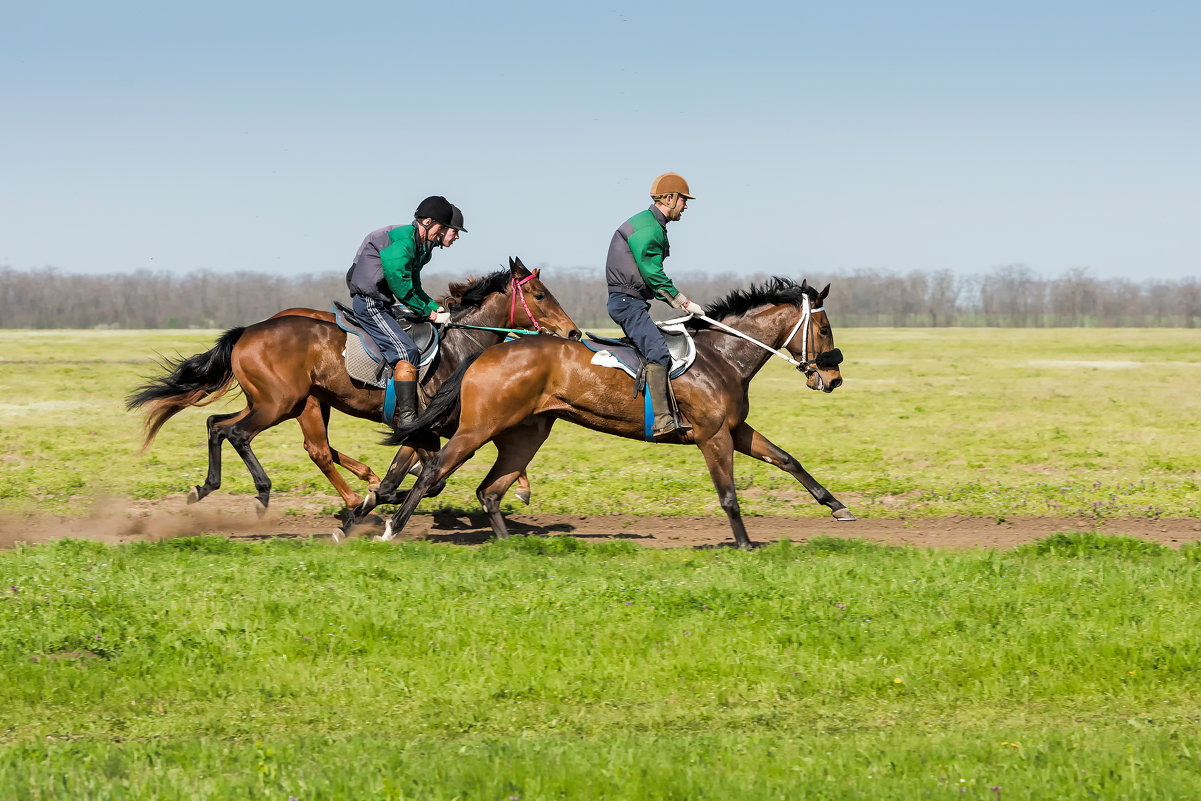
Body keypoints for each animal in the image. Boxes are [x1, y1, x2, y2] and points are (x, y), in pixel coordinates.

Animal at [127, 260, 581, 516]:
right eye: (539, 294)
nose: (573, 333)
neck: (458, 345)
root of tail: (248, 332)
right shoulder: (431, 426)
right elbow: (429, 476)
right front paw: (382, 495)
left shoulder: (441, 428)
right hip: (281, 404)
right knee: (245, 434)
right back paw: (270, 493)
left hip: (288, 403)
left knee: (219, 425)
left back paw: (206, 487)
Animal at [350, 277, 859, 552]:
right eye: (825, 326)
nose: (832, 378)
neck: (723, 355)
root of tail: (488, 352)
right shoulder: (714, 437)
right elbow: (729, 495)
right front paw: (746, 543)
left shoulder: (735, 429)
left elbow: (788, 459)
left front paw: (837, 507)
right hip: (477, 428)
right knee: (433, 469)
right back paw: (388, 527)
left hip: (526, 433)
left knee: (489, 489)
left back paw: (509, 545)